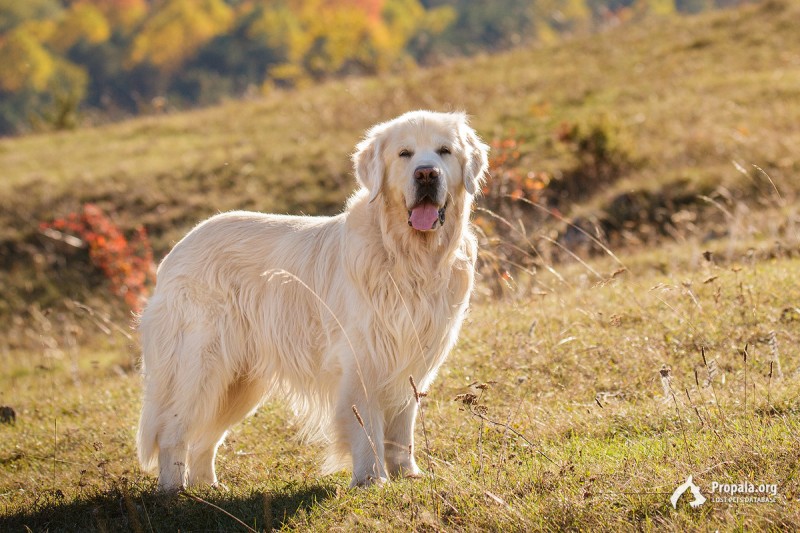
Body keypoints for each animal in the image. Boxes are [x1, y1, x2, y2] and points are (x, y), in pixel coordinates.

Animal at [137, 110, 488, 488]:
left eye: (444, 151)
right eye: (404, 154)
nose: (426, 174)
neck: (407, 256)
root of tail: (174, 252)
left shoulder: (411, 360)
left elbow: (401, 429)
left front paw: (407, 475)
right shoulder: (362, 359)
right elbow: (367, 428)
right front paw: (372, 480)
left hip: (239, 381)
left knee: (205, 437)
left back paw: (208, 486)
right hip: (202, 367)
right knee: (173, 432)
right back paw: (175, 491)